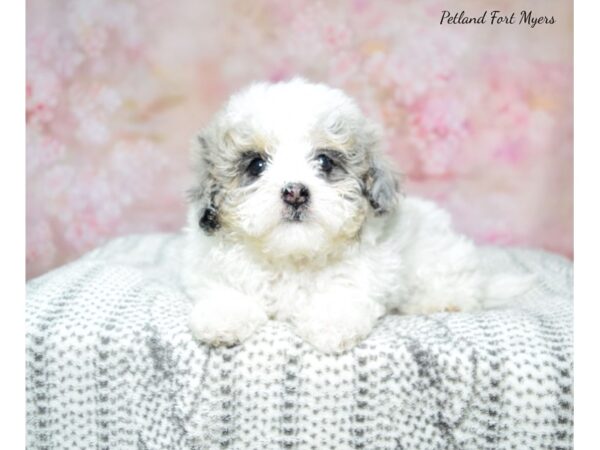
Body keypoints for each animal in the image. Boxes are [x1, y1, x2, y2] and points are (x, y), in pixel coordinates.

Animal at [183, 79, 524, 354]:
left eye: (325, 162)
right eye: (256, 165)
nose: (295, 192)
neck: (294, 257)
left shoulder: (362, 275)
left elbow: (342, 295)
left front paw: (329, 325)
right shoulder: (218, 268)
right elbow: (225, 290)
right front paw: (222, 319)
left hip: (439, 259)